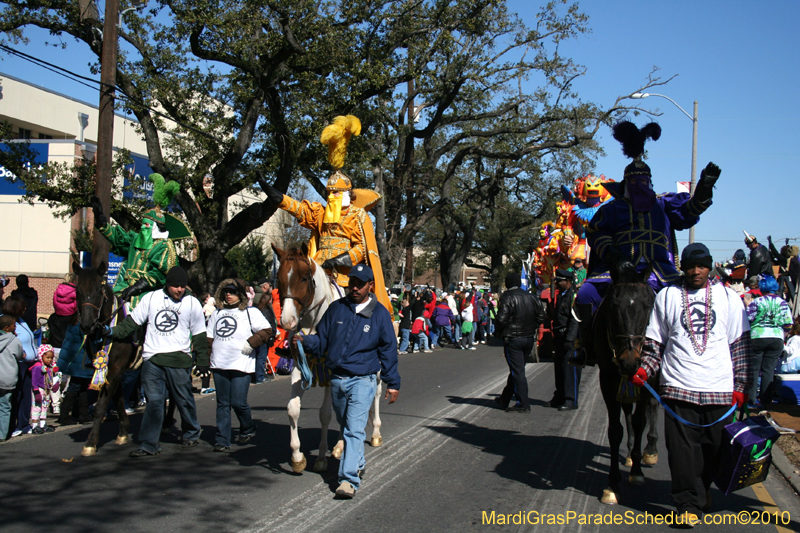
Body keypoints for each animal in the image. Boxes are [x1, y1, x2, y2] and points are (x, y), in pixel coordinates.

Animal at [72, 260, 138, 456]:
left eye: (97, 291)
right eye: (77, 291)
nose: (86, 325)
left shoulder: (115, 369)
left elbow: (101, 404)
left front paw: (91, 442)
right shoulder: (110, 368)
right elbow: (118, 398)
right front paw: (123, 432)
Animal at [272, 243, 384, 472]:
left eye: (304, 278)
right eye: (279, 278)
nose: (287, 321)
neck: (314, 321)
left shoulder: (331, 372)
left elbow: (326, 413)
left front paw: (323, 456)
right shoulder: (299, 367)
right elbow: (293, 409)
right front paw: (297, 457)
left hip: (375, 369)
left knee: (376, 393)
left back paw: (374, 433)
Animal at [592, 266, 660, 502]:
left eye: (648, 306)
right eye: (613, 305)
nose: (629, 362)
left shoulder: (648, 377)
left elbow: (640, 421)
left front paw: (637, 472)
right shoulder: (608, 380)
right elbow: (615, 430)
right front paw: (612, 486)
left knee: (652, 407)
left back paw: (649, 451)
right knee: (628, 411)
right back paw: (630, 453)